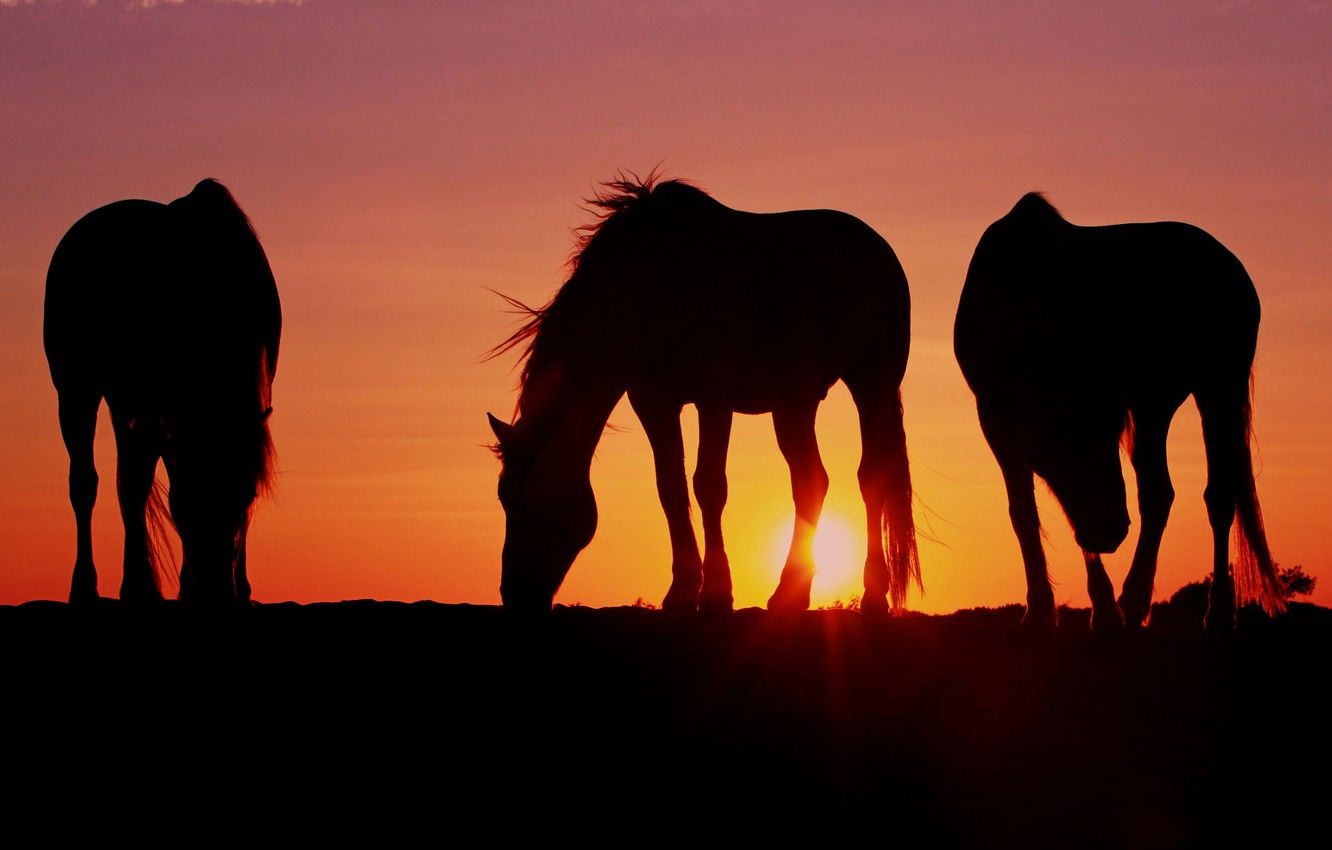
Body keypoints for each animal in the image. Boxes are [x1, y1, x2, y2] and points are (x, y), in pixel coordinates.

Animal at [46, 178, 281, 607]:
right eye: (187, 504)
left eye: (244, 498)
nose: (217, 594)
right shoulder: (164, 415)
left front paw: (240, 588)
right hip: (78, 391)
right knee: (89, 483)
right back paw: (91, 587)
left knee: (128, 482)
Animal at [490, 173, 916, 615]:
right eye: (503, 498)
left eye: (524, 501)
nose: (515, 594)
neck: (654, 287)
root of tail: (877, 247)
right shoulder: (653, 403)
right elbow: (671, 490)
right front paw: (681, 591)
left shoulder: (714, 399)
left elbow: (709, 486)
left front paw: (716, 593)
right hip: (793, 405)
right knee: (810, 482)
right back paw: (790, 595)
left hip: (873, 385)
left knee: (872, 478)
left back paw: (872, 595)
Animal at [953, 194, 1284, 634]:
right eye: (1063, 443)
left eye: (1108, 432)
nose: (1110, 531)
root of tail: (1228, 262)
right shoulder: (997, 419)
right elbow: (1027, 512)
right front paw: (1047, 610)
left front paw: (1103, 608)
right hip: (1154, 404)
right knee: (1158, 492)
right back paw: (1135, 602)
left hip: (1214, 390)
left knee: (1213, 496)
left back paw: (1208, 610)